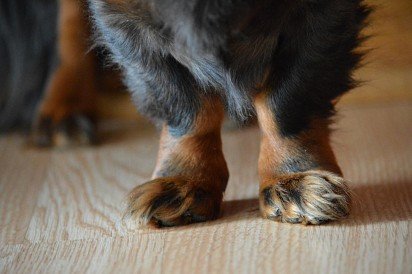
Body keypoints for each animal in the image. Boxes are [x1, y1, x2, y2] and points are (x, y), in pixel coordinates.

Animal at [0, 0, 372, 227]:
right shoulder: (125, 17)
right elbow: (187, 110)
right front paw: (184, 180)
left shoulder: (321, 14)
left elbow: (286, 104)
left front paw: (292, 179)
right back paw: (62, 109)